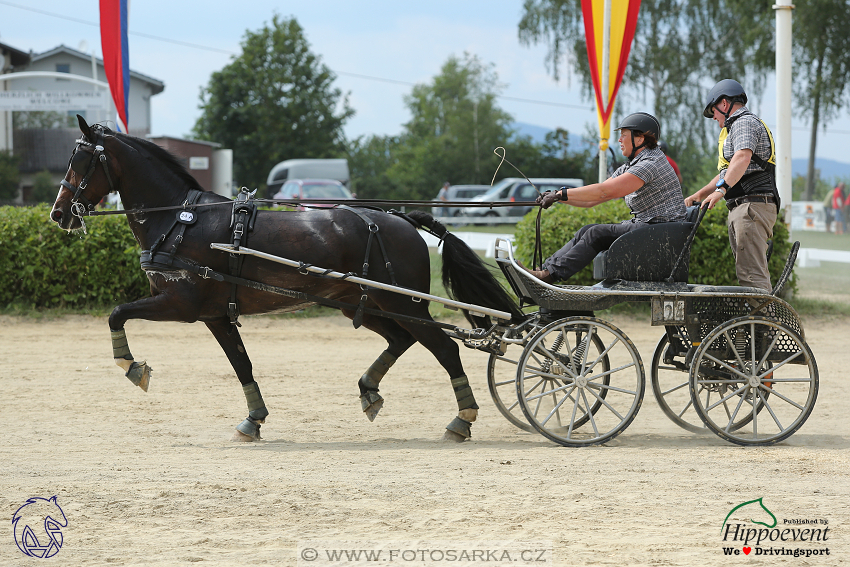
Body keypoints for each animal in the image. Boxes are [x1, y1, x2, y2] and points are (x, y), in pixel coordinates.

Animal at [51, 115, 524, 444]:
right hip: (365, 302)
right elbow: (241, 364)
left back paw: (461, 420)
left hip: (405, 303)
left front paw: (132, 366)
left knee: (444, 349)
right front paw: (253, 420)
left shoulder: (180, 305)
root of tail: (403, 219)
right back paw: (369, 389)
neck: (182, 221)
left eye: (79, 160)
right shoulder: (215, 315)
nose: (57, 213)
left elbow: (116, 314)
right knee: (401, 339)